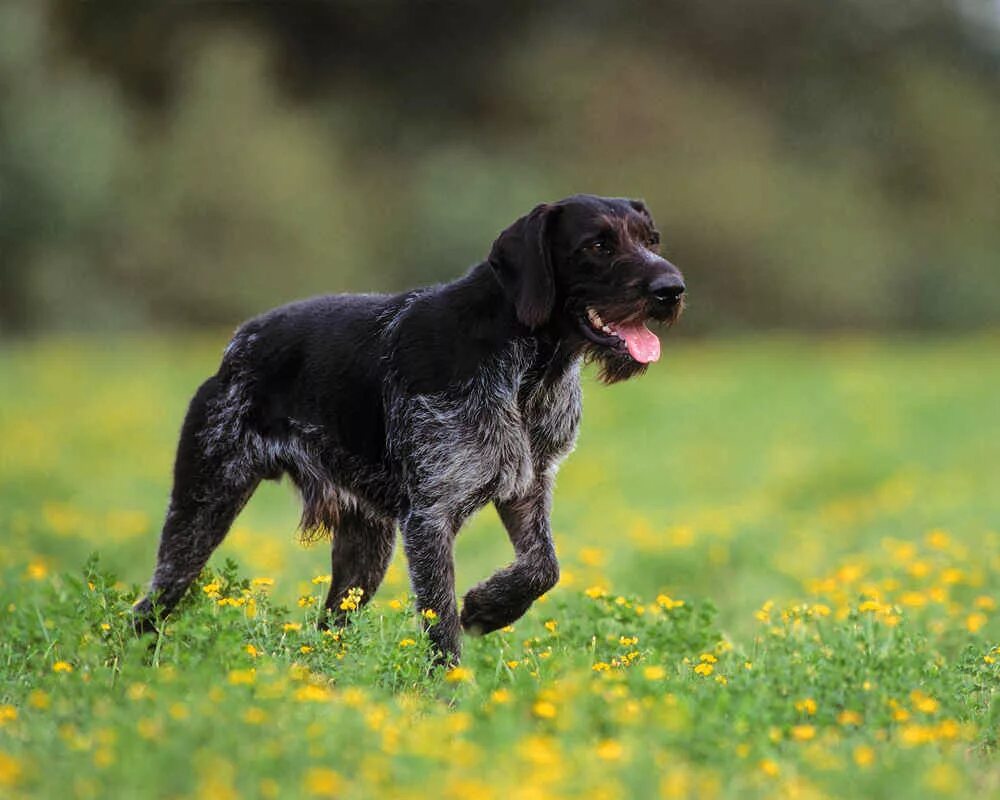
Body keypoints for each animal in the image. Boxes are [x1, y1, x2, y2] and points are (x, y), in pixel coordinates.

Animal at [133, 195, 684, 664]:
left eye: (652, 240)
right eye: (597, 245)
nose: (671, 290)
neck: (529, 368)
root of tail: (237, 344)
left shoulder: (527, 487)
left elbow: (543, 568)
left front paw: (488, 608)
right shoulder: (430, 518)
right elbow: (442, 626)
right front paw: (450, 693)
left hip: (365, 547)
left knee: (329, 626)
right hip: (204, 504)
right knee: (150, 604)